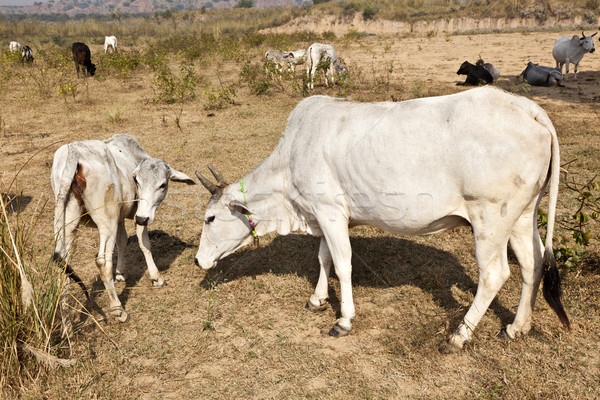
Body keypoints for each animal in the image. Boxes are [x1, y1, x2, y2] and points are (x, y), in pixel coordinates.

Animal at [51, 134, 197, 322]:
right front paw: (156, 277)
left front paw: (120, 272)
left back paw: (65, 317)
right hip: (107, 221)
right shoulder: (135, 216)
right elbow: (144, 243)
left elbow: (122, 240)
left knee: (64, 264)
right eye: (138, 182)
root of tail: (73, 153)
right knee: (102, 262)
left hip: (66, 222)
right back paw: (117, 309)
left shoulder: (121, 218)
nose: (143, 218)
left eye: (162, 184)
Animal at [195, 87, 568, 354]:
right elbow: (323, 257)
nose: (199, 260)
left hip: (490, 220)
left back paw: (459, 336)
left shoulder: (330, 211)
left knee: (494, 274)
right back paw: (517, 327)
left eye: (210, 217)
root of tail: (525, 107)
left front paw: (343, 320)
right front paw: (317, 299)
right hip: (522, 215)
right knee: (532, 263)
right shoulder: (323, 214)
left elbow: (342, 263)